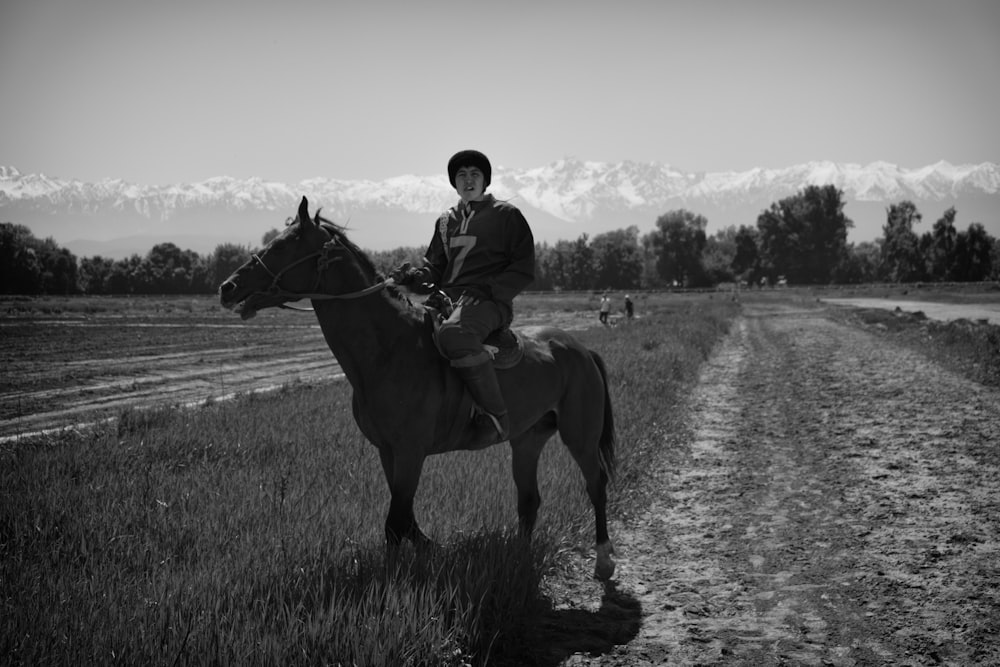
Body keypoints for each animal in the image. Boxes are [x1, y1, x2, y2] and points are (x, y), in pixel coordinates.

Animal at [219, 197, 616, 580]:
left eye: (282, 245)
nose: (228, 287)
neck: (388, 349)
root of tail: (580, 349)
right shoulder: (388, 451)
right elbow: (405, 518)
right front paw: (430, 551)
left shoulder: (411, 452)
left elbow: (396, 523)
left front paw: (395, 582)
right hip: (527, 439)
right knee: (529, 500)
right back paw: (518, 560)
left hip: (580, 435)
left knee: (595, 484)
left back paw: (603, 561)